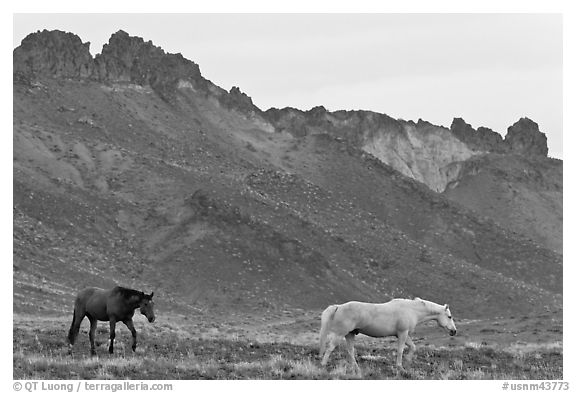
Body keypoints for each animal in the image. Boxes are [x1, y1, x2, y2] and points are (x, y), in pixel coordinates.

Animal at [318, 298, 456, 370]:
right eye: (449, 316)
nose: (454, 331)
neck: (412, 310)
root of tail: (338, 307)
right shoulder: (402, 333)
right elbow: (400, 350)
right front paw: (400, 366)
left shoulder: (403, 335)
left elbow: (413, 347)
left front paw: (407, 361)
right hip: (340, 334)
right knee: (330, 348)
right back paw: (323, 364)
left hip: (350, 334)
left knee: (350, 351)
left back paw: (356, 368)